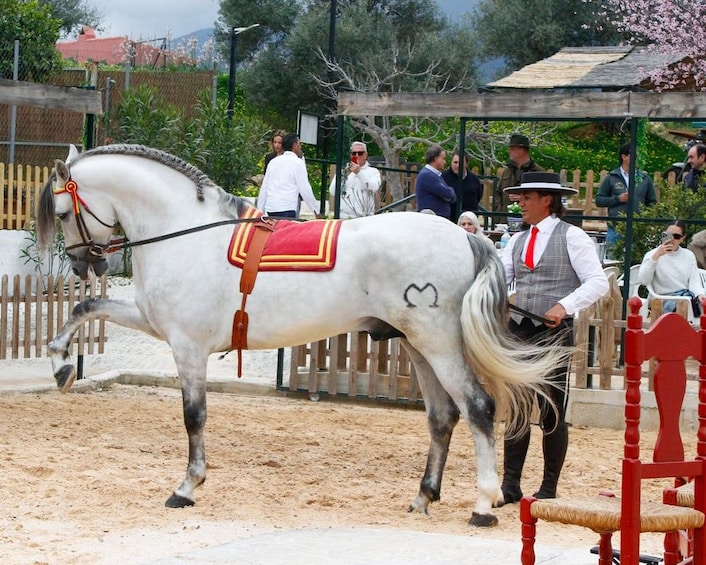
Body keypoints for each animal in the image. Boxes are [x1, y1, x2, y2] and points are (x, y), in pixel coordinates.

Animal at [37, 144, 569, 528]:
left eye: (62, 213)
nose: (84, 264)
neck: (185, 232)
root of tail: (464, 235)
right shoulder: (153, 322)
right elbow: (86, 307)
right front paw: (61, 363)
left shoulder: (187, 347)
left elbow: (194, 417)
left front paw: (187, 487)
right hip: (419, 347)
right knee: (442, 416)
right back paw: (422, 498)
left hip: (438, 345)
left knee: (478, 408)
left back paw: (482, 505)